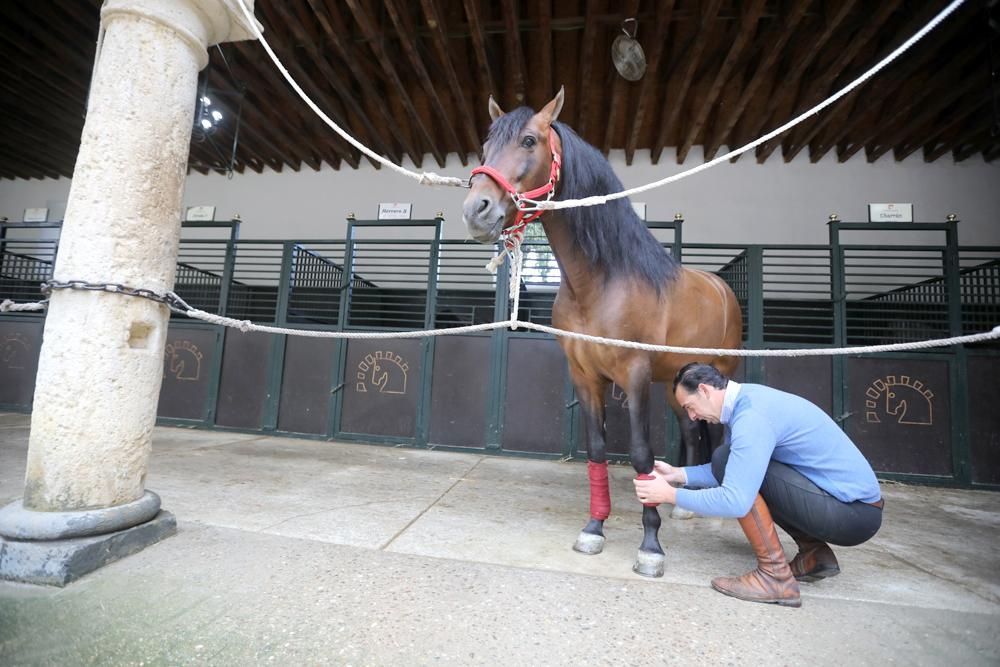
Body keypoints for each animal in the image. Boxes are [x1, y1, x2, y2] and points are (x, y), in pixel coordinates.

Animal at [460, 87, 744, 580]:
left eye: (530, 140)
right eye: (486, 145)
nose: (477, 210)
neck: (601, 280)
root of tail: (722, 287)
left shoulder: (633, 374)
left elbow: (641, 455)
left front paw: (650, 547)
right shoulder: (584, 375)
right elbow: (595, 450)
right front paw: (594, 528)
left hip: (721, 373)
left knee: (721, 434)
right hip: (676, 383)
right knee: (693, 433)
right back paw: (685, 507)